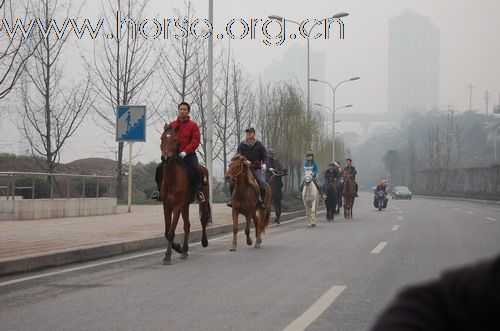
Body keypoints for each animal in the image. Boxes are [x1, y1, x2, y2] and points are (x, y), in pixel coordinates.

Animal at [160, 126, 211, 266]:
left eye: (175, 139)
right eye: (162, 138)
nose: (166, 158)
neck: (172, 179)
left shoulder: (177, 206)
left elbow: (171, 232)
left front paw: (167, 256)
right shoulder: (167, 206)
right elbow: (166, 232)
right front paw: (178, 247)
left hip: (202, 202)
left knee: (203, 220)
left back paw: (204, 241)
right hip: (185, 206)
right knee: (187, 225)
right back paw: (185, 250)